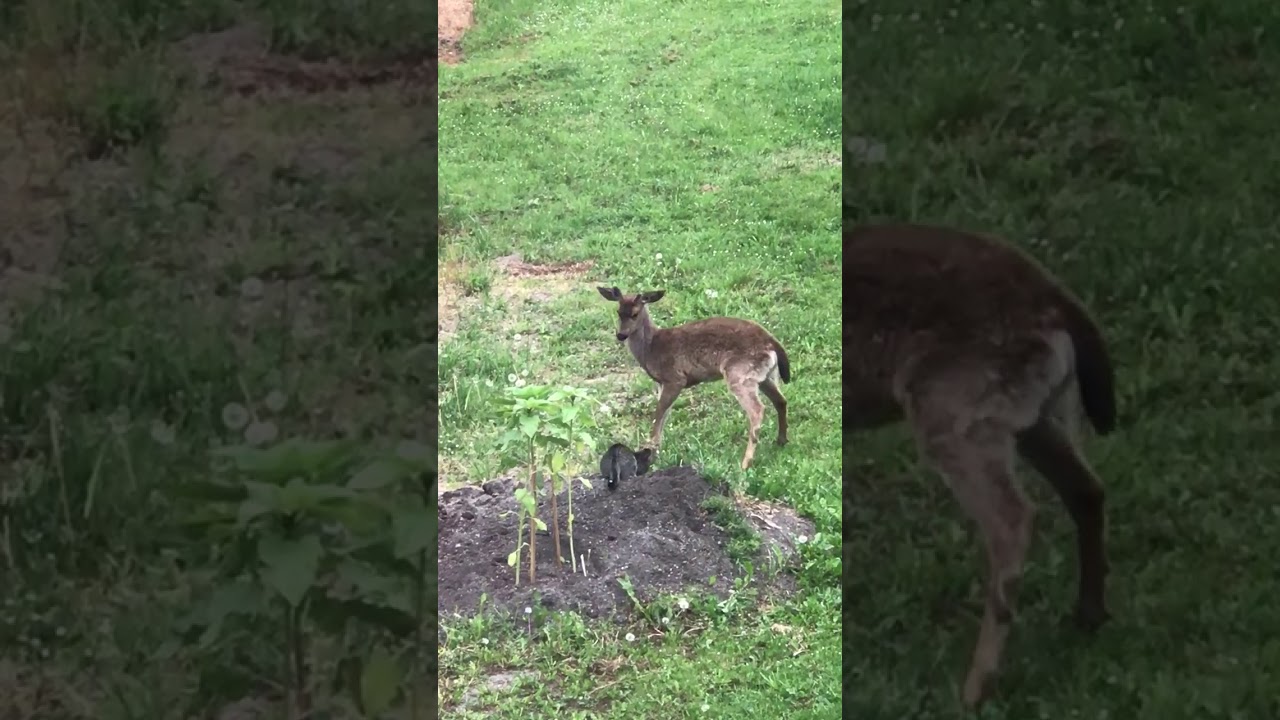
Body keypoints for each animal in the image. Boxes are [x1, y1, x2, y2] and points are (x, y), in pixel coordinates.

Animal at [596, 287, 791, 471]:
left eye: (635, 314)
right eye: (618, 311)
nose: (621, 335)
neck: (651, 349)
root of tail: (772, 343)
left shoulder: (674, 378)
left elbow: (658, 415)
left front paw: (649, 456)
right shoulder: (662, 383)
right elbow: (663, 416)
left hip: (739, 373)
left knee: (757, 409)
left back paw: (745, 463)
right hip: (764, 376)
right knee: (781, 400)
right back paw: (781, 441)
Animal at [844, 223, 1116, 709]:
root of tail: (1057, 301)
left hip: (956, 409)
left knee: (1014, 518)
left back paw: (974, 688)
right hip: (1030, 410)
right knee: (1086, 488)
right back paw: (1088, 615)